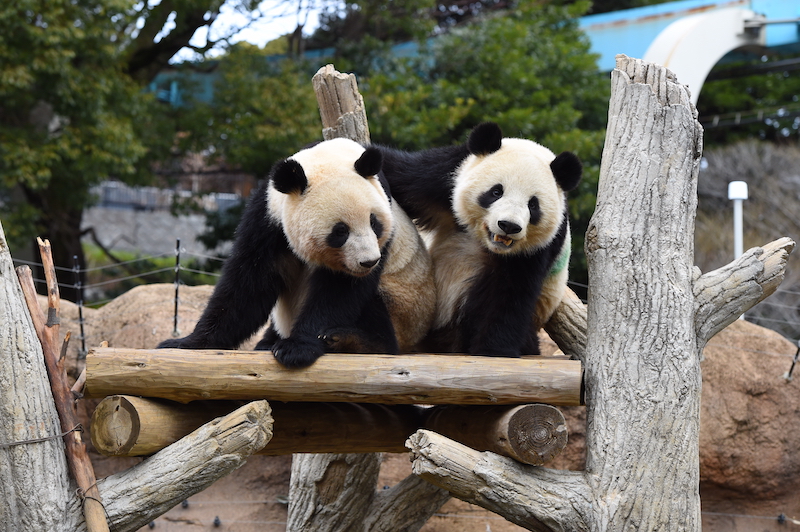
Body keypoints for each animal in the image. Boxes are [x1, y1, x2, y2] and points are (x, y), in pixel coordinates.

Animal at [155, 139, 432, 368]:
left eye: (375, 223)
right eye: (340, 231)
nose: (369, 262)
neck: (328, 158)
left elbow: (339, 291)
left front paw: (297, 348)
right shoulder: (268, 217)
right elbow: (248, 284)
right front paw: (186, 343)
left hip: (403, 306)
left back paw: (351, 340)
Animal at [376, 122, 580, 358]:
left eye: (533, 204)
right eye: (496, 191)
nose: (508, 226)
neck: (484, 238)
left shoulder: (540, 246)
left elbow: (510, 293)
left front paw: (493, 349)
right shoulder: (443, 177)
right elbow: (400, 172)